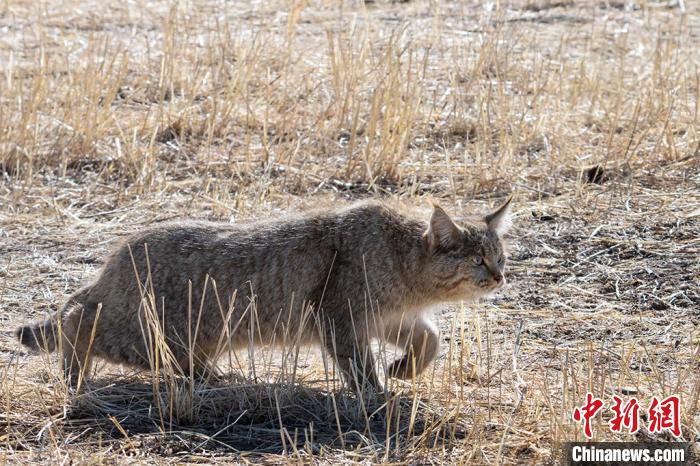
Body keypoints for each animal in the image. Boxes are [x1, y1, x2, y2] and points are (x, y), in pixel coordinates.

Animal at [15, 198, 508, 392]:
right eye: (478, 259)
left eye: (501, 256)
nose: (501, 277)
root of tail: (115, 257)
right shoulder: (340, 316)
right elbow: (359, 365)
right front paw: (377, 394)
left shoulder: (393, 318)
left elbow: (431, 340)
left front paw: (404, 369)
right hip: (143, 333)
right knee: (75, 317)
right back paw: (74, 373)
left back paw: (212, 376)